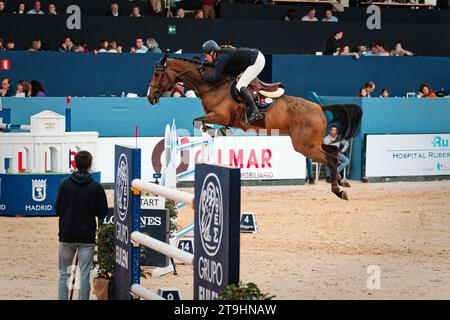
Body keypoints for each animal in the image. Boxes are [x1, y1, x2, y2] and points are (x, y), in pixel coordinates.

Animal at [148, 55, 362, 200]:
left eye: (157, 73)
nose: (150, 97)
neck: (213, 85)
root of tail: (319, 107)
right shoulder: (221, 117)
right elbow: (202, 122)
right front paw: (221, 131)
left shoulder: (220, 115)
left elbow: (199, 122)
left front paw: (216, 131)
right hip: (311, 143)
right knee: (333, 151)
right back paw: (341, 181)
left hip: (304, 146)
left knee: (330, 158)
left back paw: (338, 190)